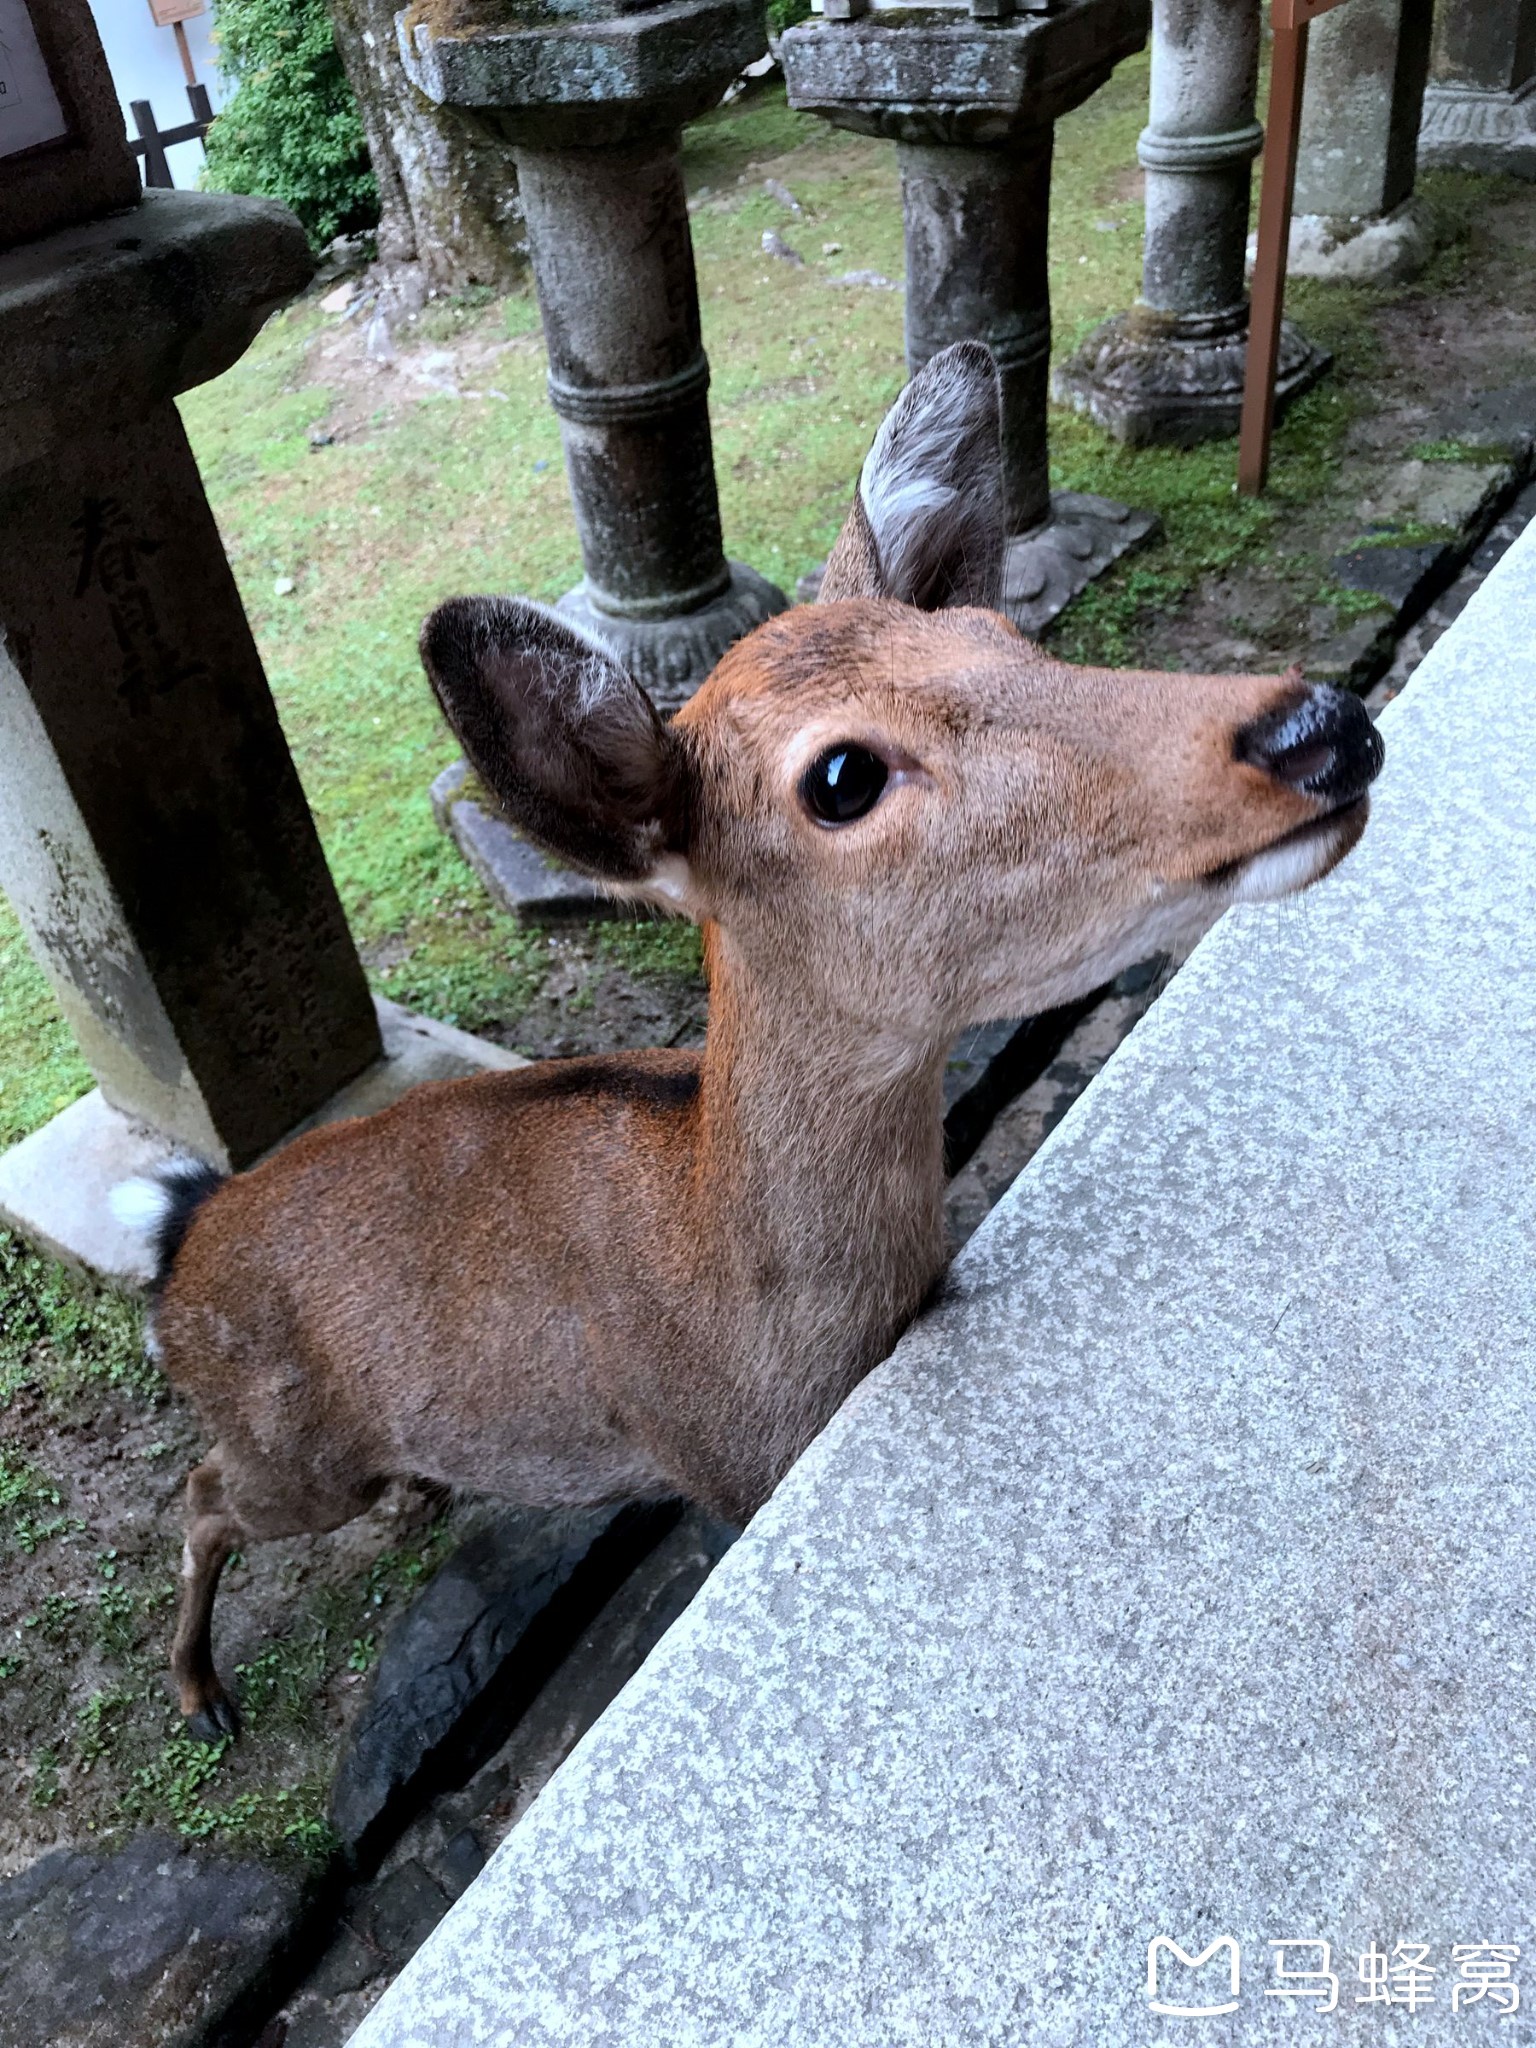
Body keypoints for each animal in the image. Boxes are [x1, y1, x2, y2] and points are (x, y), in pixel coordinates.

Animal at [108, 344, 1384, 1736]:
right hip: (287, 1449)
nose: (1319, 725)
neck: (793, 1342)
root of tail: (177, 1239)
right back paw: (200, 1692)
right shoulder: (723, 1466)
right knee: (200, 1497)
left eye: (1003, 635)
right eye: (839, 777)